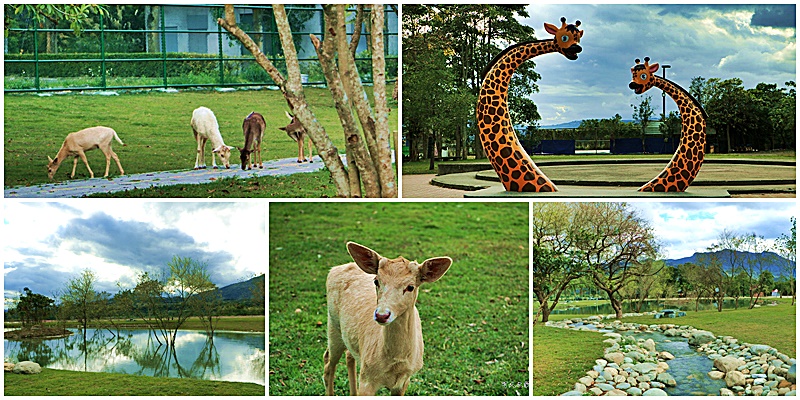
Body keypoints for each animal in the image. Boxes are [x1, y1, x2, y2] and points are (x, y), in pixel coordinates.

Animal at [324, 242, 450, 396]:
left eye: (410, 287)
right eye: (376, 281)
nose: (381, 315)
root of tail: (335, 268)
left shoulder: (404, 380)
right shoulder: (367, 377)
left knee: (349, 356)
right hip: (333, 324)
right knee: (328, 363)